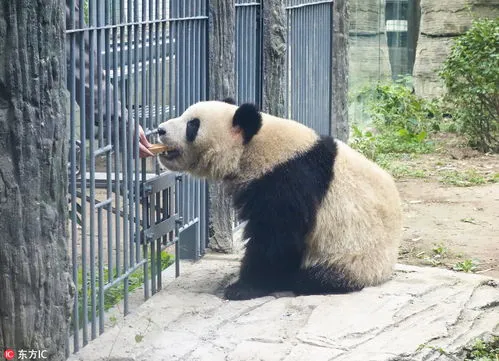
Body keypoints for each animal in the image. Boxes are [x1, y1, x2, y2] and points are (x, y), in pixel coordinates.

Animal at [158, 97, 404, 300]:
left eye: (193, 125)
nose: (160, 130)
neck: (255, 145)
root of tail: (383, 273)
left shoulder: (286, 180)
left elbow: (276, 236)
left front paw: (243, 287)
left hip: (351, 255)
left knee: (317, 276)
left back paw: (295, 279)